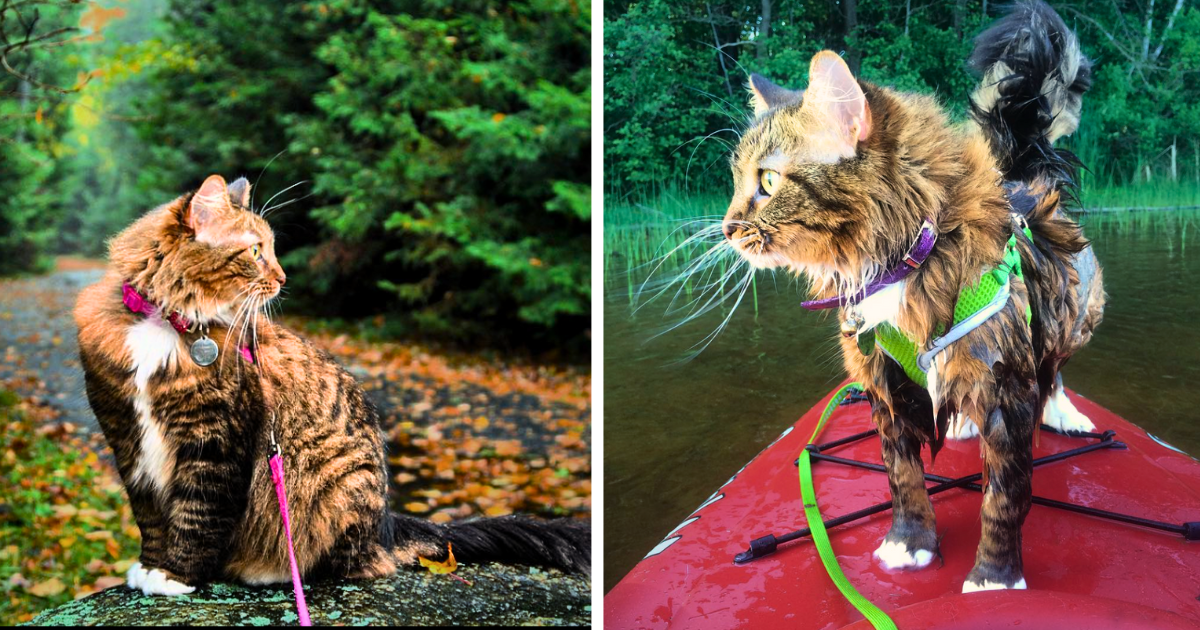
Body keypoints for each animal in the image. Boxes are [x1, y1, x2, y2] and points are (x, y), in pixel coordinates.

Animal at [72, 172, 588, 595]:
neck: (166, 324)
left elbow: (197, 516)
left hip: (335, 479)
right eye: (256, 251)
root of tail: (387, 525)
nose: (283, 277)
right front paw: (150, 567)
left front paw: (175, 576)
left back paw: (270, 569)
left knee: (351, 563)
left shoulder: (216, 443)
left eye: (272, 249)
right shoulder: (127, 439)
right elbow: (151, 518)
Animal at [720, 0, 1104, 590]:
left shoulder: (1008, 388)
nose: (726, 228)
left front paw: (995, 578)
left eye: (766, 181)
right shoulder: (885, 384)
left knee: (1055, 366)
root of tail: (1021, 179)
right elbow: (903, 479)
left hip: (1075, 312)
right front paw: (910, 545)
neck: (908, 259)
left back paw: (1064, 411)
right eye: (738, 179)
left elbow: (1005, 496)